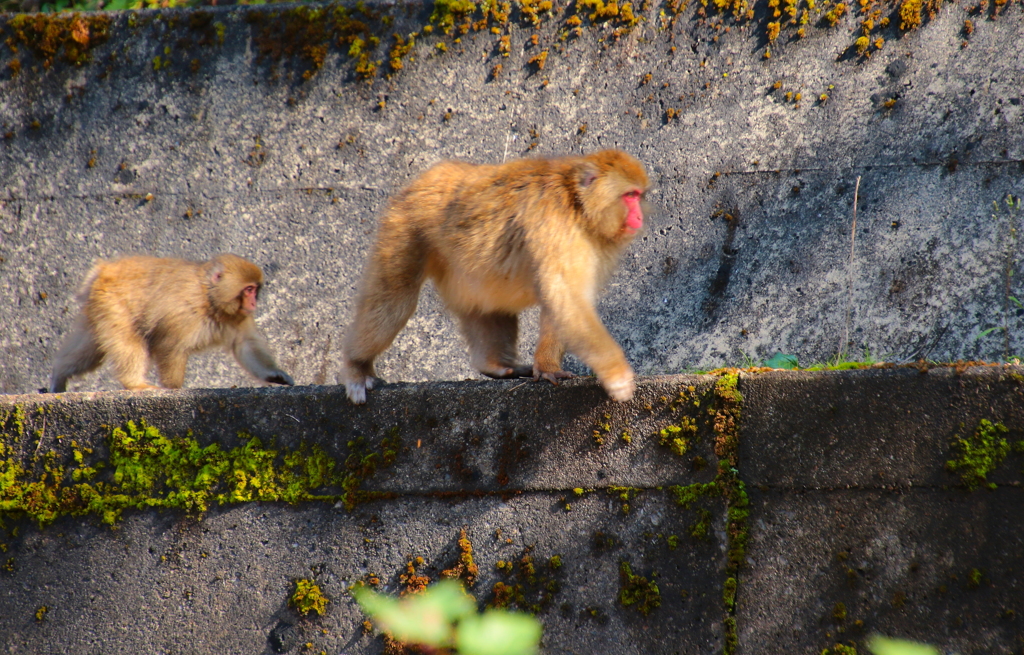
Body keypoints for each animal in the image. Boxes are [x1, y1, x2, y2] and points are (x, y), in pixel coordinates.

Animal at [49, 253, 294, 390]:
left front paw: (274, 374)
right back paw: (134, 383)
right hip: (113, 304)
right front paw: (174, 389)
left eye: (256, 290)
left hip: (98, 309)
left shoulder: (237, 316)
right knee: (128, 340)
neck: (210, 299)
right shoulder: (184, 313)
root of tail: (103, 269)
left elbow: (245, 346)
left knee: (89, 351)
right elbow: (170, 347)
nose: (253, 303)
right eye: (249, 289)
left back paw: (59, 375)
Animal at [342, 149, 647, 405]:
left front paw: (547, 366)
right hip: (403, 226)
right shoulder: (556, 223)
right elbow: (567, 298)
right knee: (394, 301)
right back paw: (356, 367)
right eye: (630, 196)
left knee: (488, 301)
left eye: (638, 196)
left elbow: (560, 299)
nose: (640, 217)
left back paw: (495, 365)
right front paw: (617, 376)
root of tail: (429, 174)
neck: (576, 203)